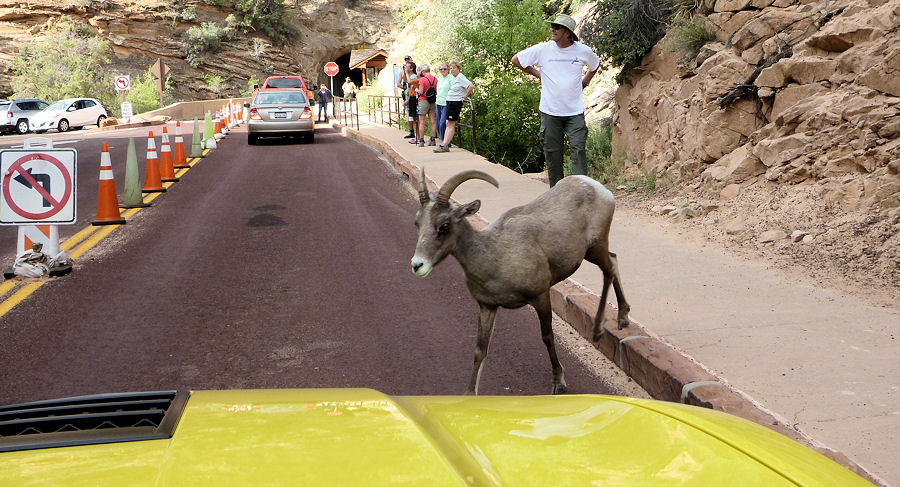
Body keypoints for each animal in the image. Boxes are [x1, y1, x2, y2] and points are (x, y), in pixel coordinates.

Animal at [412, 170, 628, 394]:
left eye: (444, 225)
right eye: (417, 223)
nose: (417, 265)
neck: (495, 255)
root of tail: (595, 186)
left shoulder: (541, 297)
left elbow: (547, 337)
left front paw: (559, 382)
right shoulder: (487, 306)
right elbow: (480, 349)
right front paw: (470, 393)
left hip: (596, 246)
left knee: (609, 270)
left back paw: (602, 329)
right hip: (591, 253)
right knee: (613, 261)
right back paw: (622, 318)